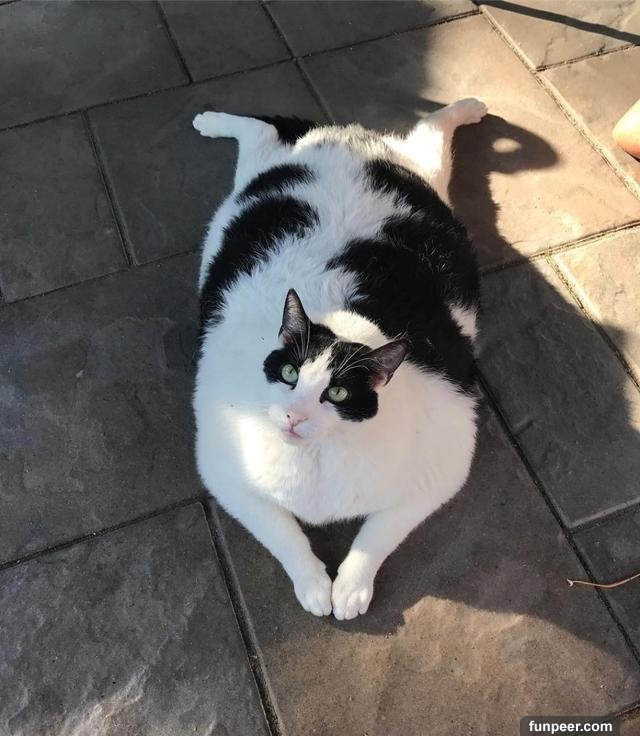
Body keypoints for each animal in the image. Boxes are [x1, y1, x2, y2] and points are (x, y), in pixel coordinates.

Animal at [193, 98, 486, 620]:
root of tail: (343, 138)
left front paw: (350, 587)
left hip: (428, 169)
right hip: (265, 172)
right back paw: (210, 120)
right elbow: (280, 531)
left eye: (339, 392)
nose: (293, 416)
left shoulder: (444, 467)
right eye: (289, 373)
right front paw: (313, 585)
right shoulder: (225, 473)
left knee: (430, 128)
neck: (317, 458)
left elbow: (380, 532)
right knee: (262, 132)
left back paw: (469, 107)